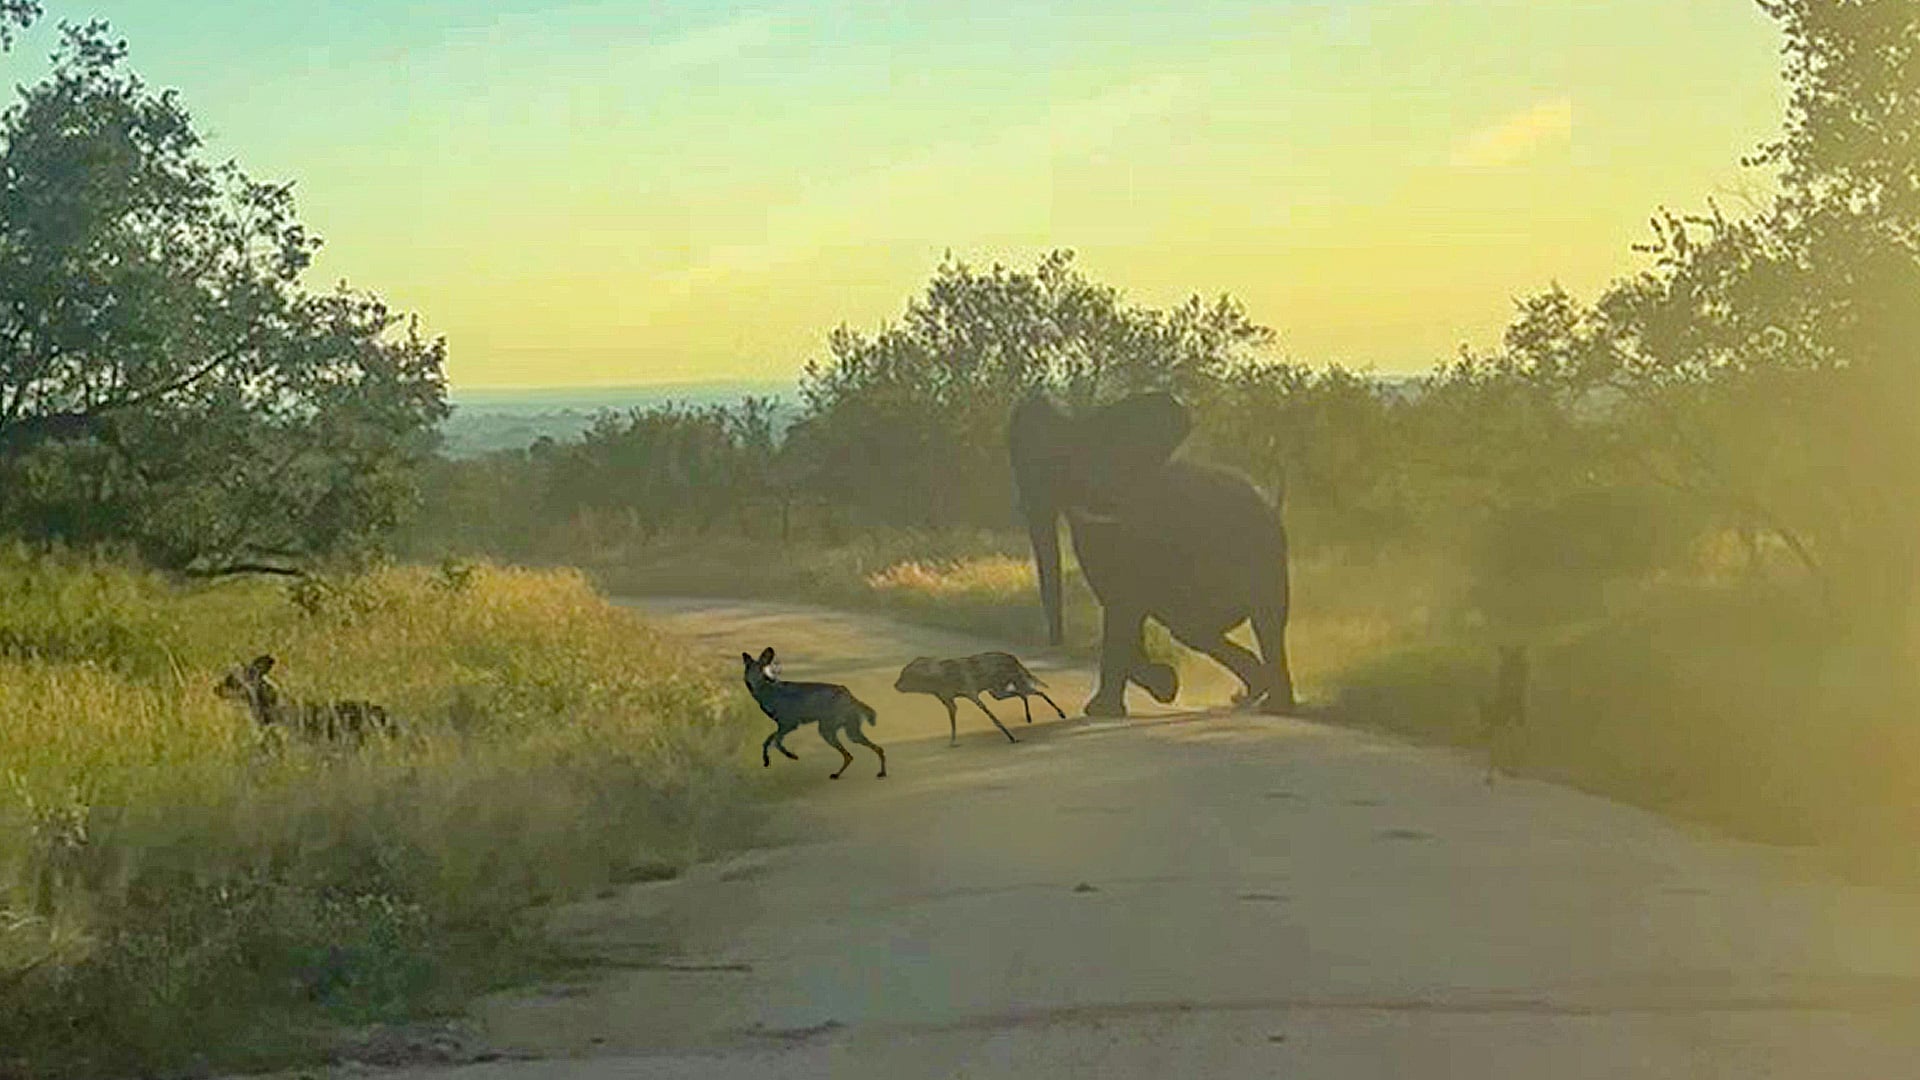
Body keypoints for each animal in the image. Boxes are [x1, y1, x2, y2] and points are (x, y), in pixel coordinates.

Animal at [1009, 389, 1295, 718]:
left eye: (1057, 466)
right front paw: (1163, 686)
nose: (1054, 644)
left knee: (1264, 624)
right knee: (1194, 630)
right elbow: (1115, 601)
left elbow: (1124, 605)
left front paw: (1108, 708)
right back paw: (1250, 693)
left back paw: (1273, 704)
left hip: (1264, 553)